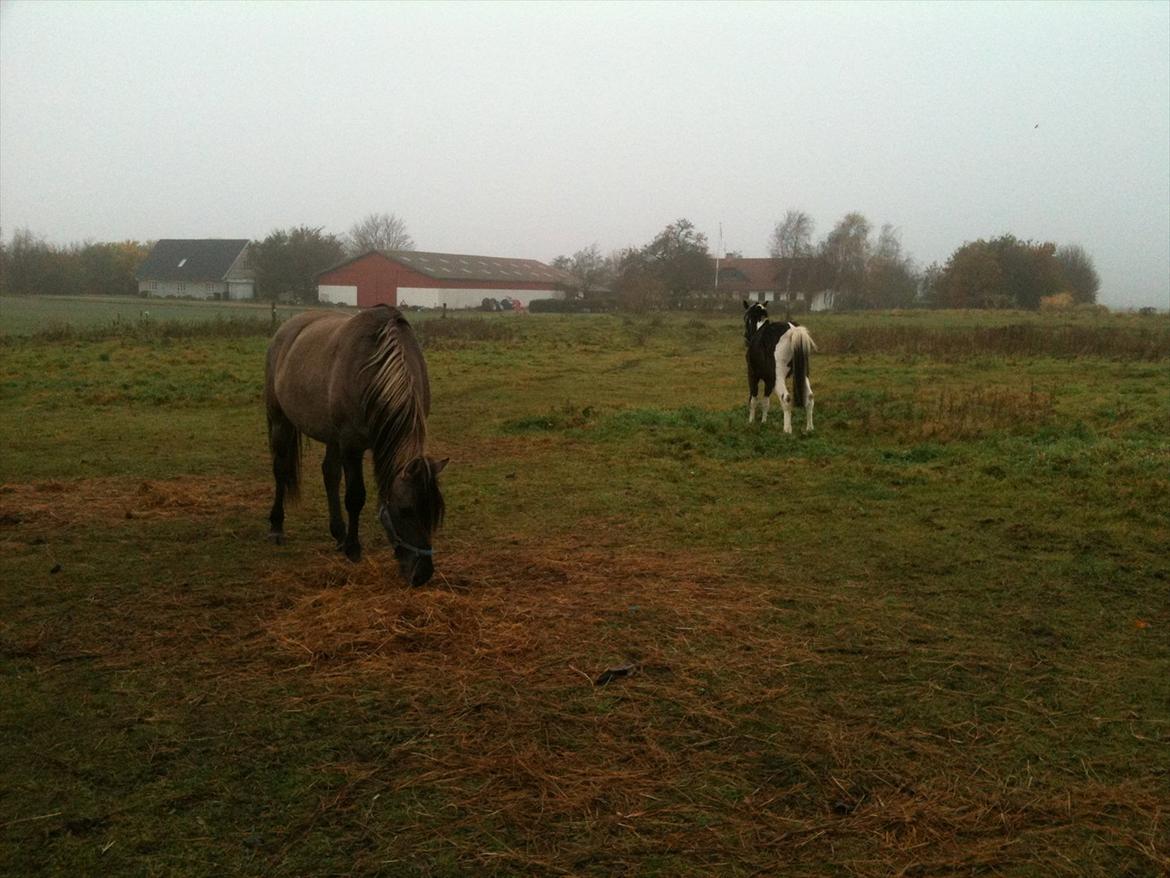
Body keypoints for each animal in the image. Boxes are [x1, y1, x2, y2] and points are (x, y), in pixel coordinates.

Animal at [266, 306, 446, 587]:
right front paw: (353, 549)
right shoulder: (351, 445)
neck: (374, 372)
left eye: (436, 513)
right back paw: (277, 526)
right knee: (281, 469)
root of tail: (285, 329)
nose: (422, 575)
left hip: (330, 436)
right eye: (405, 511)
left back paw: (338, 533)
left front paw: (346, 541)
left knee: (329, 474)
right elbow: (355, 496)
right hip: (280, 420)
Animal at [744, 302, 819, 435]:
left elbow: (753, 399)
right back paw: (809, 428)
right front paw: (763, 422)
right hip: (803, 375)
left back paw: (787, 430)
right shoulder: (769, 380)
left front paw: (751, 422)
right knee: (810, 397)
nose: (745, 337)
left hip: (778, 378)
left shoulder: (753, 375)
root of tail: (793, 330)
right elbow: (765, 402)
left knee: (786, 399)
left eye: (746, 318)